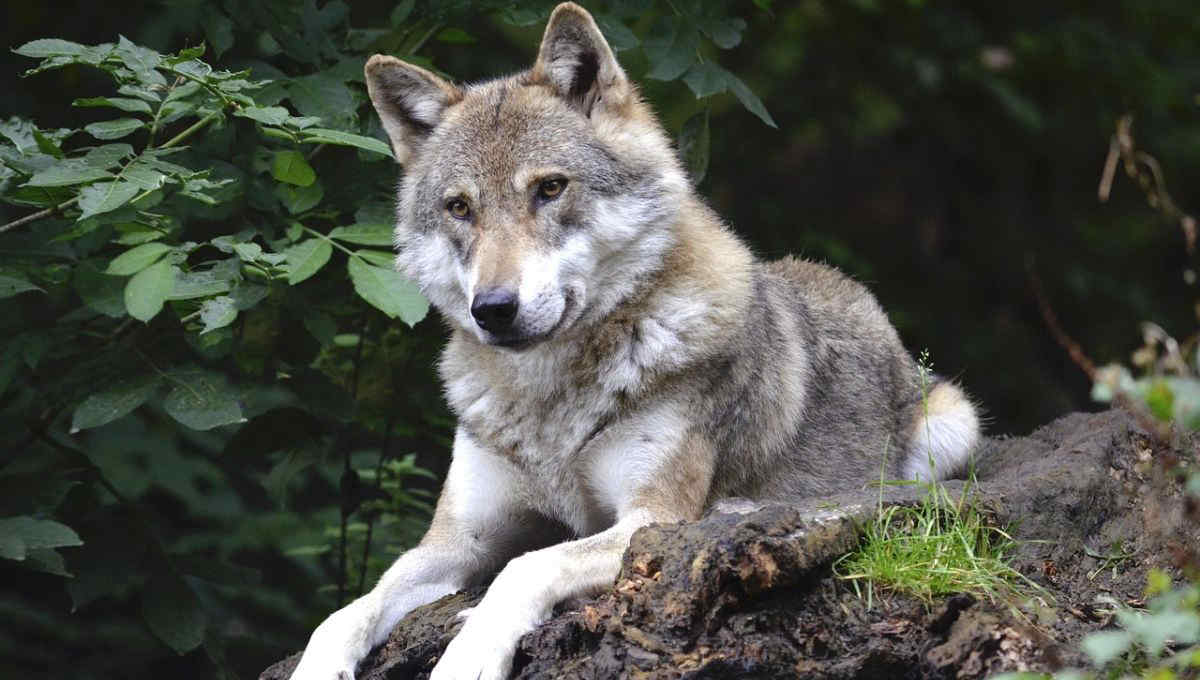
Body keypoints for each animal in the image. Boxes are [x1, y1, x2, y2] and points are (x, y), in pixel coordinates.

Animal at [289, 3, 981, 679]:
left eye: (550, 188)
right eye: (460, 208)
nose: (493, 310)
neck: (550, 400)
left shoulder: (651, 519)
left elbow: (527, 565)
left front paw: (469, 653)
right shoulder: (458, 541)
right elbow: (349, 608)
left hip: (952, 427)